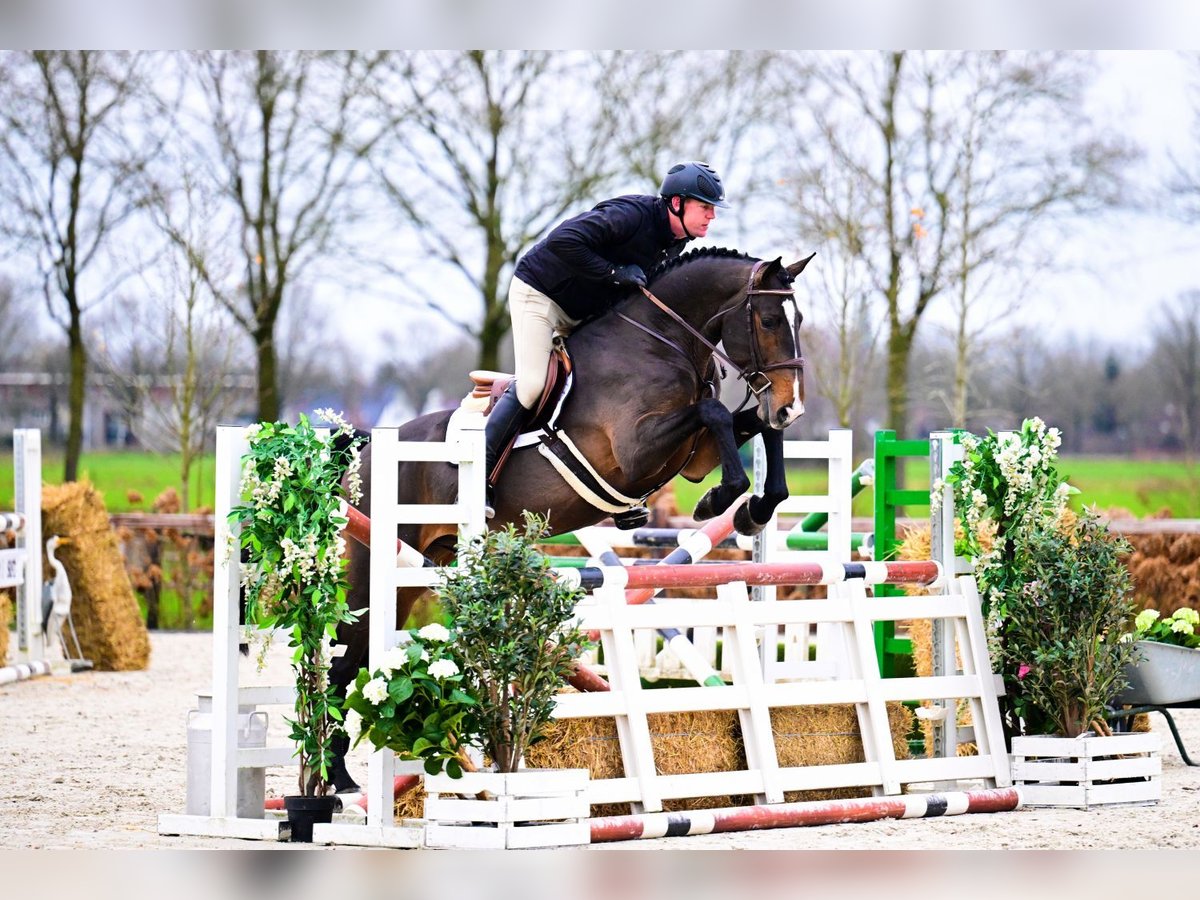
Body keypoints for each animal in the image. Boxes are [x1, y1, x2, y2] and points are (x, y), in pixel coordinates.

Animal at [328, 244, 816, 787]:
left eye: (798, 320)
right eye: (769, 320)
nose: (792, 406)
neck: (663, 342)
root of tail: (367, 450)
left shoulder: (695, 455)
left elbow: (751, 426)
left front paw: (754, 509)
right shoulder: (636, 450)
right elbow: (715, 412)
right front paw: (721, 500)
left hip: (413, 572)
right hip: (372, 567)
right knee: (342, 665)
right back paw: (336, 779)